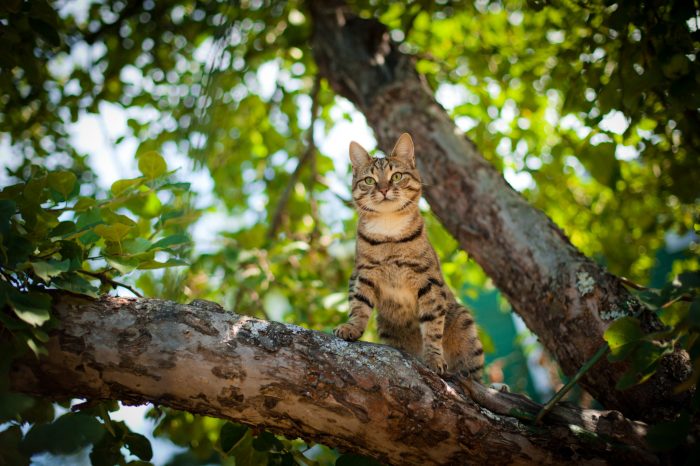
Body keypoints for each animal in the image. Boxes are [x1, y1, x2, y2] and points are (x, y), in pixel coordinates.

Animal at [334, 132, 482, 378]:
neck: (389, 230)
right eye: (369, 181)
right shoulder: (363, 274)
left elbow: (432, 326)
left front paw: (433, 357)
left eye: (396, 176)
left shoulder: (429, 282)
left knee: (474, 372)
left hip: (464, 324)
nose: (383, 189)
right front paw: (352, 327)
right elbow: (358, 305)